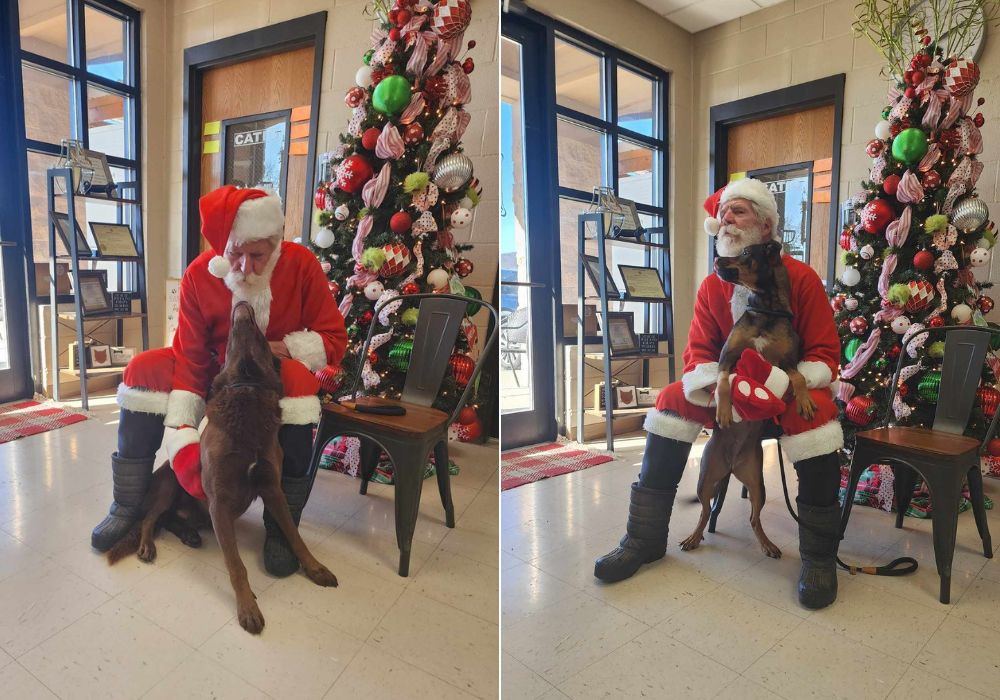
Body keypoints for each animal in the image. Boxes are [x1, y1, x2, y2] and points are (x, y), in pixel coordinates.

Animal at [676, 242, 816, 556]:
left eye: (746, 253)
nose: (716, 258)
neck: (766, 307)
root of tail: (730, 467)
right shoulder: (727, 357)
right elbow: (724, 382)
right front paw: (726, 411)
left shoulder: (788, 362)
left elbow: (799, 377)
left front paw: (803, 401)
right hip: (705, 478)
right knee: (705, 512)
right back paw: (693, 537)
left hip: (757, 484)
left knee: (754, 518)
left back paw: (767, 545)